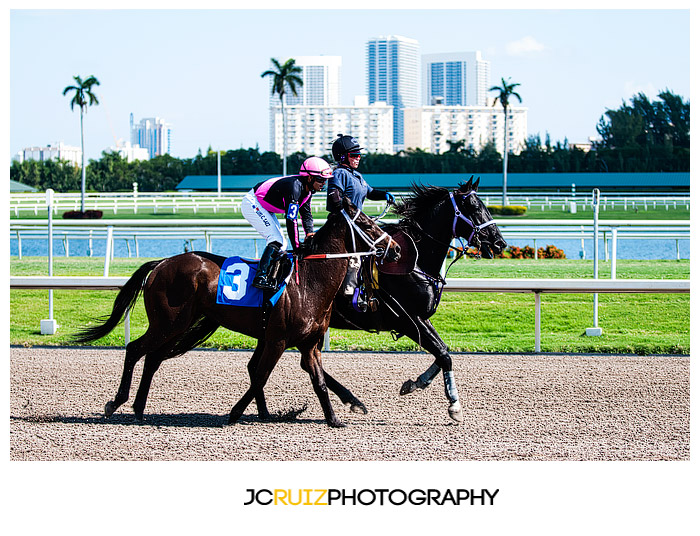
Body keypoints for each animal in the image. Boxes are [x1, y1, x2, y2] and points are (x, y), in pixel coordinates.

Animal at [72, 197, 400, 428]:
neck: (308, 282)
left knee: (152, 358)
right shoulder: (278, 340)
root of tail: (162, 263)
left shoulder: (309, 344)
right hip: (168, 322)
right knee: (134, 349)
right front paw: (236, 413)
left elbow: (317, 381)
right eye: (368, 225)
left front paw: (334, 419)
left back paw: (139, 409)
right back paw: (117, 403)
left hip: (178, 324)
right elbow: (260, 376)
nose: (396, 249)